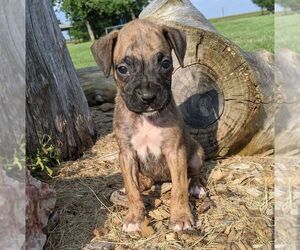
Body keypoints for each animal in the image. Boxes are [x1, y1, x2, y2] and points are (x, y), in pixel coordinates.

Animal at [91, 19, 204, 232]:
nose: (148, 97)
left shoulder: (175, 152)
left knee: (192, 174)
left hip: (196, 155)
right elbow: (132, 189)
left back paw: (195, 186)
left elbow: (179, 189)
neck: (145, 118)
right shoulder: (126, 155)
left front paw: (180, 216)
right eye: (122, 69)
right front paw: (135, 216)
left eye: (165, 63)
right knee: (139, 182)